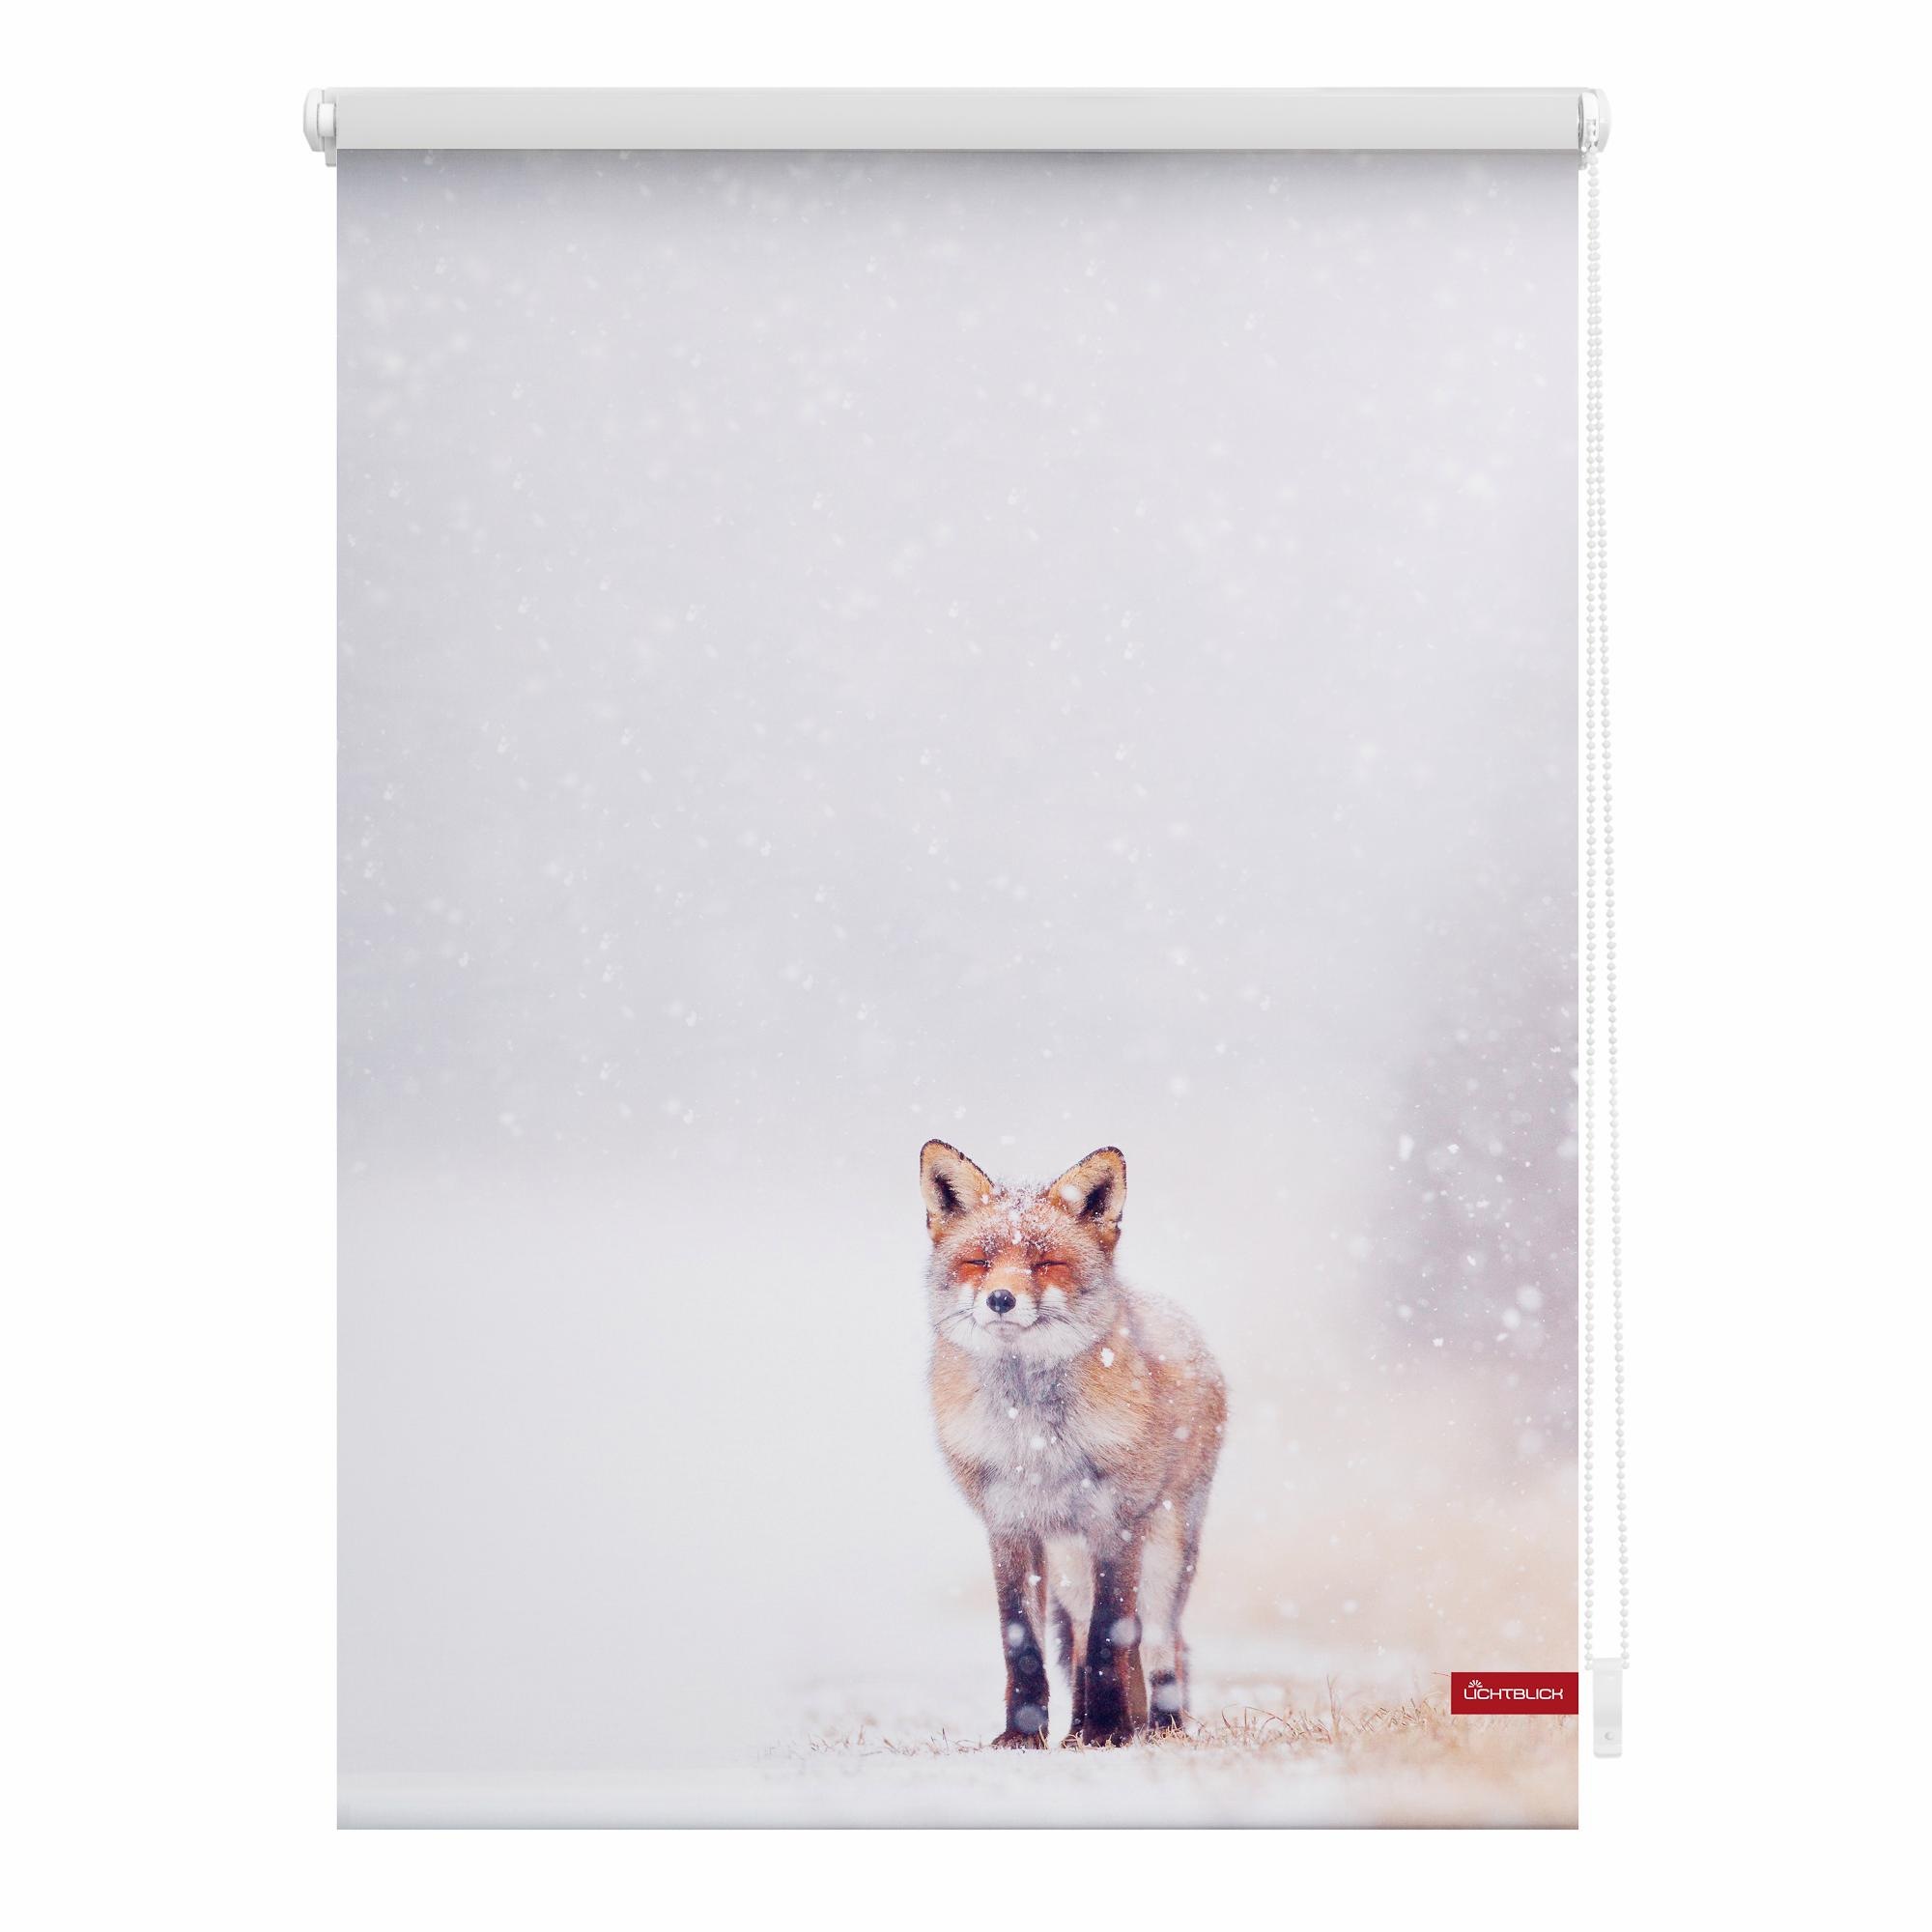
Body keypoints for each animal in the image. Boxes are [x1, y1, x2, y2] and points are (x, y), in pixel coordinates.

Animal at [921, 1139, 1226, 1748]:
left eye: (1046, 1264)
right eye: (979, 1262)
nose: (1000, 1299)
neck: (1034, 1439)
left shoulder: (1116, 1522)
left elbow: (1114, 1636)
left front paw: (1110, 1732)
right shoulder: (1009, 1526)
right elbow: (1024, 1643)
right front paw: (1023, 1736)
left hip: (1165, 1549)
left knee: (1160, 1643)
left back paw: (1156, 1727)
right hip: (1067, 1562)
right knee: (1082, 1637)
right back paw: (1078, 1728)